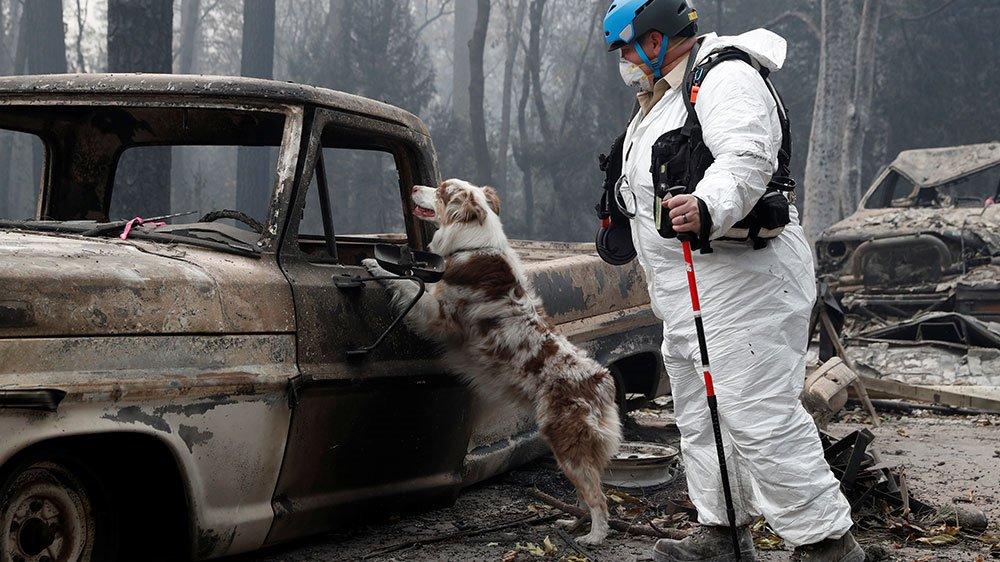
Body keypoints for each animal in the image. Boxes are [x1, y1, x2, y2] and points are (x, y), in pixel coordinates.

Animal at [364, 178, 620, 544]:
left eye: (440, 190)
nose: (413, 187)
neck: (473, 241)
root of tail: (601, 381)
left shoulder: (439, 317)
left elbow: (409, 282)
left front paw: (375, 266)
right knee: (585, 495)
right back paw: (571, 523)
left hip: (566, 443)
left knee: (598, 498)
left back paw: (594, 537)